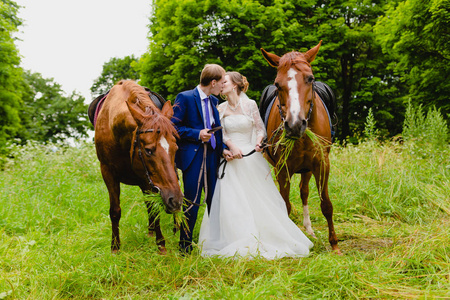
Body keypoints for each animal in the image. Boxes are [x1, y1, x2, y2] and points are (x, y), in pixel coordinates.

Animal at [94, 79, 184, 253]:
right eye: (148, 150)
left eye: (176, 148)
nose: (175, 201)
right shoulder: (107, 172)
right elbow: (115, 211)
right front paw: (115, 247)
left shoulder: (148, 178)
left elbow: (154, 207)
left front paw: (161, 244)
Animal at [260, 41, 342, 254]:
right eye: (277, 84)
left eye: (310, 78)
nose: (295, 124)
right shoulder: (282, 169)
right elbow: (285, 205)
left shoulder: (322, 164)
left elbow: (326, 205)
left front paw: (334, 244)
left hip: (308, 169)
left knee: (304, 191)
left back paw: (309, 229)